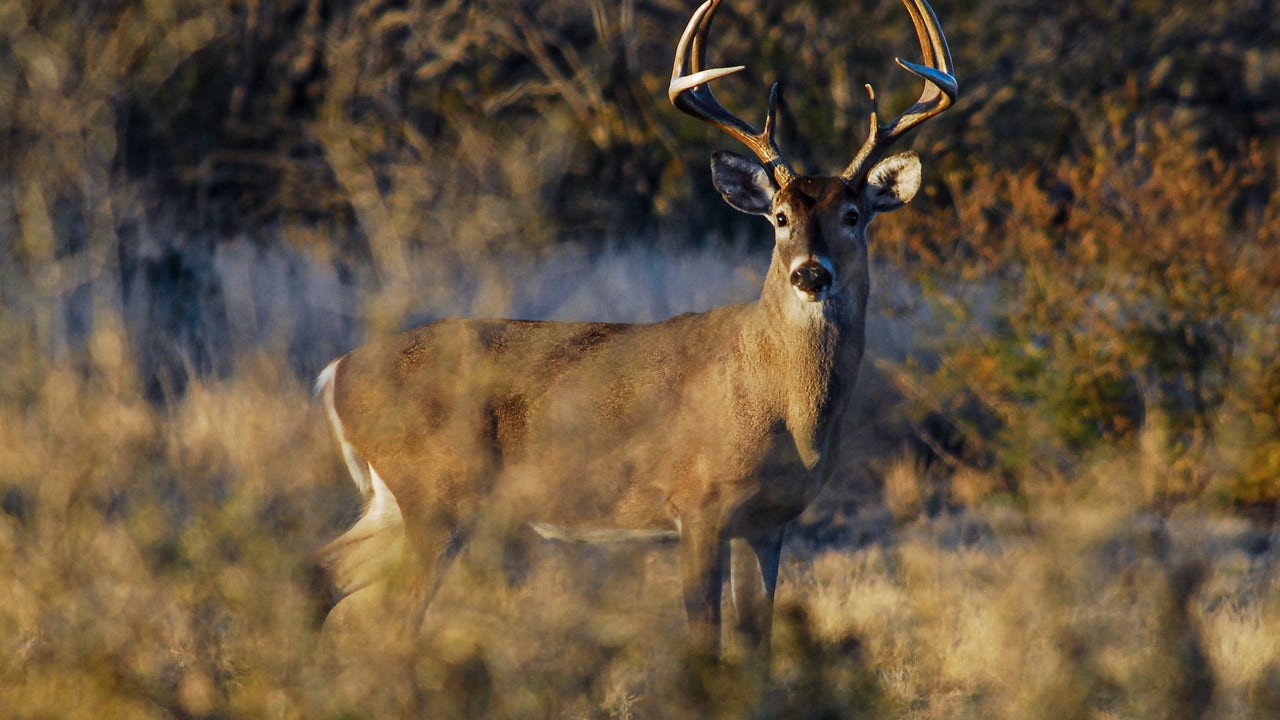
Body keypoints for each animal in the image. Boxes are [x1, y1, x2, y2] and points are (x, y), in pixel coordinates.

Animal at [313, 0, 956, 660]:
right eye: (779, 217)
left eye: (852, 215)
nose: (810, 273)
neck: (784, 408)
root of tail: (335, 372)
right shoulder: (697, 504)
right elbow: (704, 641)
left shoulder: (769, 524)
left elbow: (757, 646)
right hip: (434, 496)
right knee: (394, 619)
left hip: (397, 503)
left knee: (320, 572)